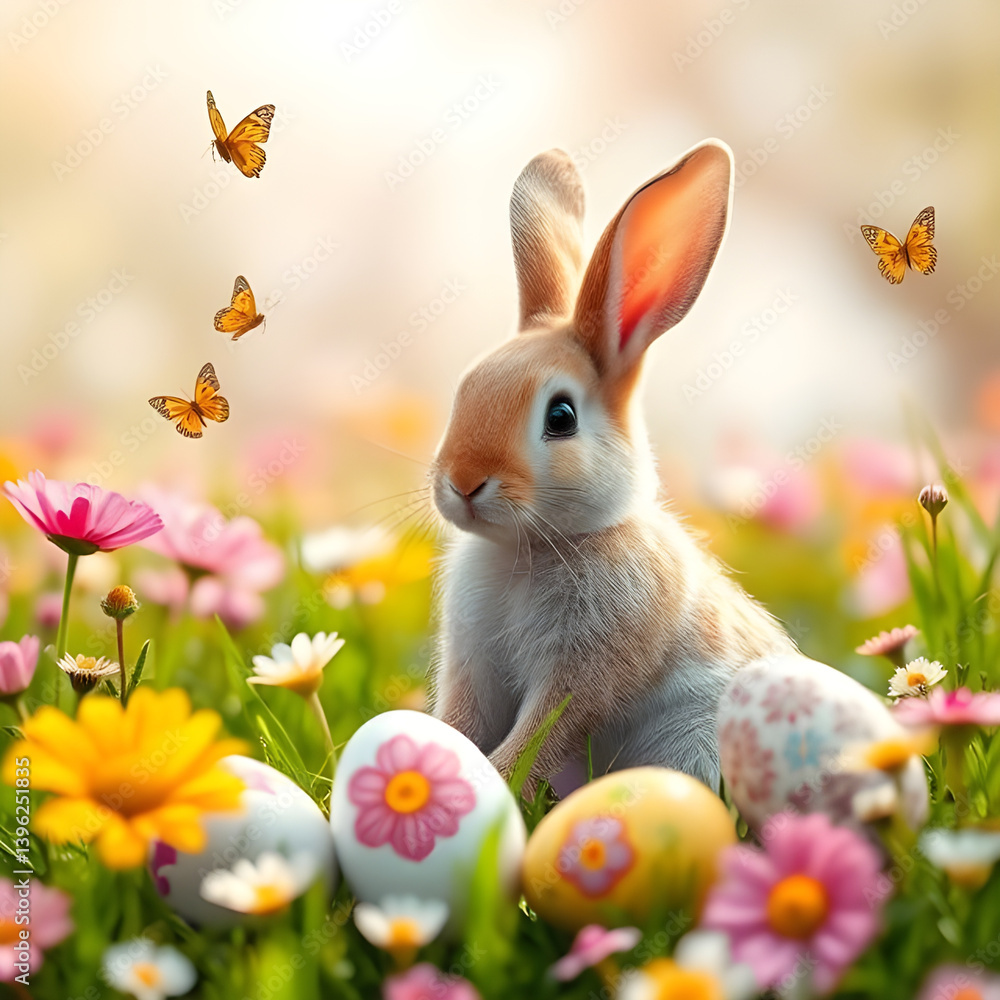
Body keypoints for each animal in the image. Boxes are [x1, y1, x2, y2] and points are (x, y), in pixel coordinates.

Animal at [429, 139, 796, 795]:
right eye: (465, 389)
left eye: (562, 416)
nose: (463, 482)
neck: (532, 547)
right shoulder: (474, 664)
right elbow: (461, 720)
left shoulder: (587, 669)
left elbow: (546, 731)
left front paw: (497, 780)